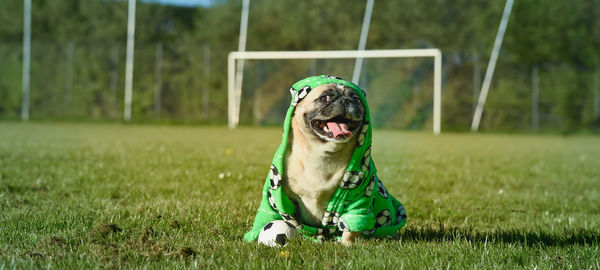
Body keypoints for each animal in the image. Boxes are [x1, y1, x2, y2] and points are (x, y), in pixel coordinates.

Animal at [286, 83, 366, 245]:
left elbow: (351, 229)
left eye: (356, 99)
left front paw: (347, 245)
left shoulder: (358, 200)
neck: (323, 154)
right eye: (324, 97)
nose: (346, 100)